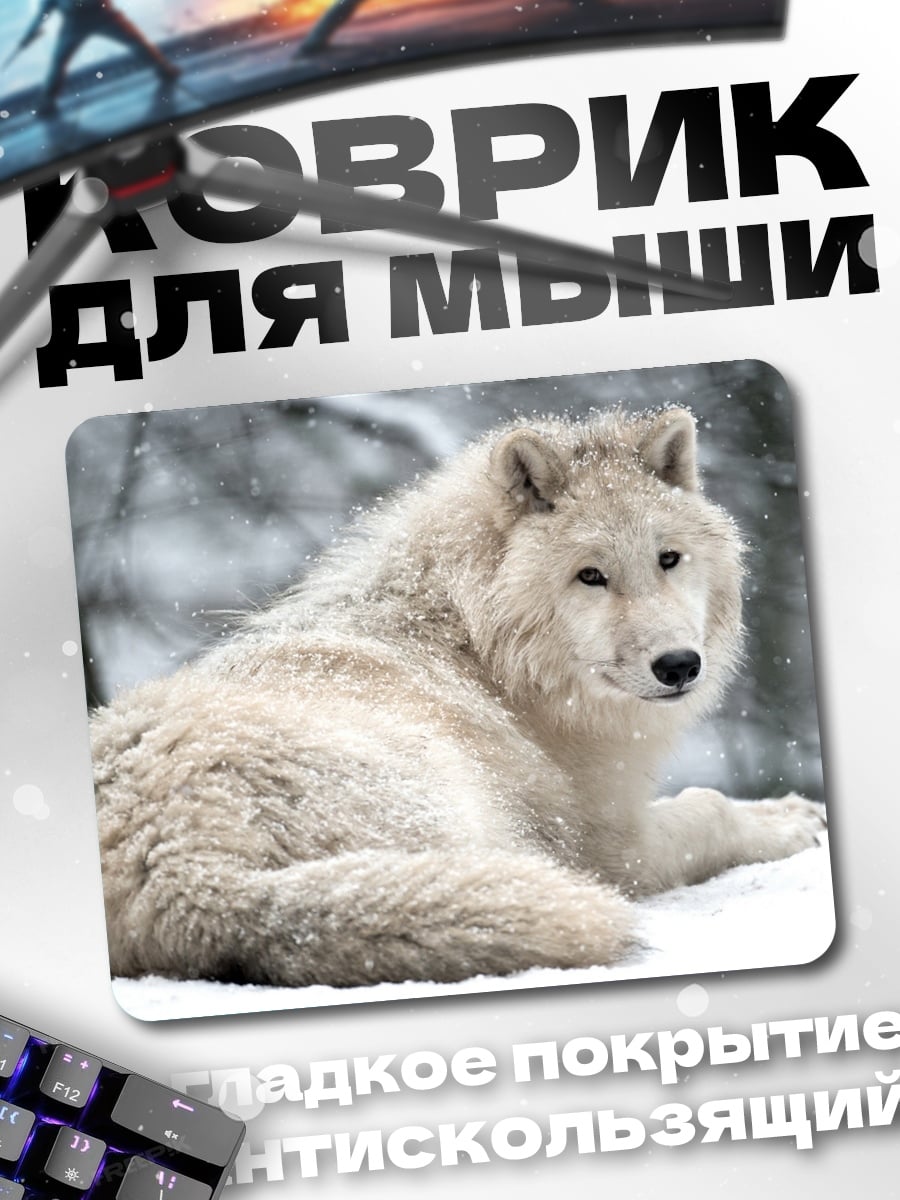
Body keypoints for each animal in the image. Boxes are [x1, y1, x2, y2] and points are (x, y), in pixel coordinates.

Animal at [91, 406, 824, 987]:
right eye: (590, 576)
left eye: (668, 559)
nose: (679, 665)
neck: (480, 648)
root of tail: (181, 872)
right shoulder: (604, 845)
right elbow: (710, 812)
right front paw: (792, 818)